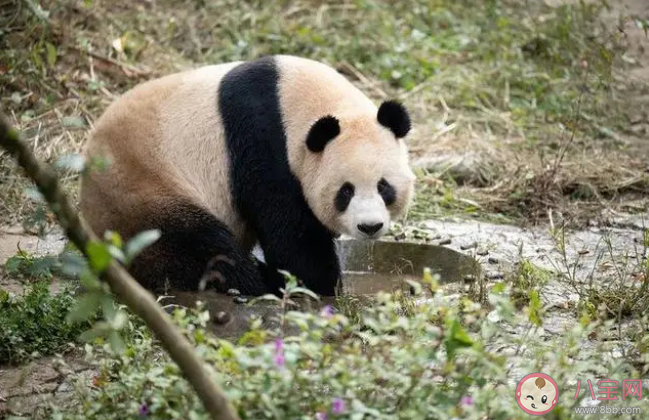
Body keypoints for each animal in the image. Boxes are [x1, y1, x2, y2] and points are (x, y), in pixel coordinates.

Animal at [79, 54, 416, 296]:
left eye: (384, 187)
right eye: (345, 191)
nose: (370, 227)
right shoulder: (263, 146)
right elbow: (292, 238)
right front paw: (321, 282)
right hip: (143, 191)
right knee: (200, 247)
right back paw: (260, 280)